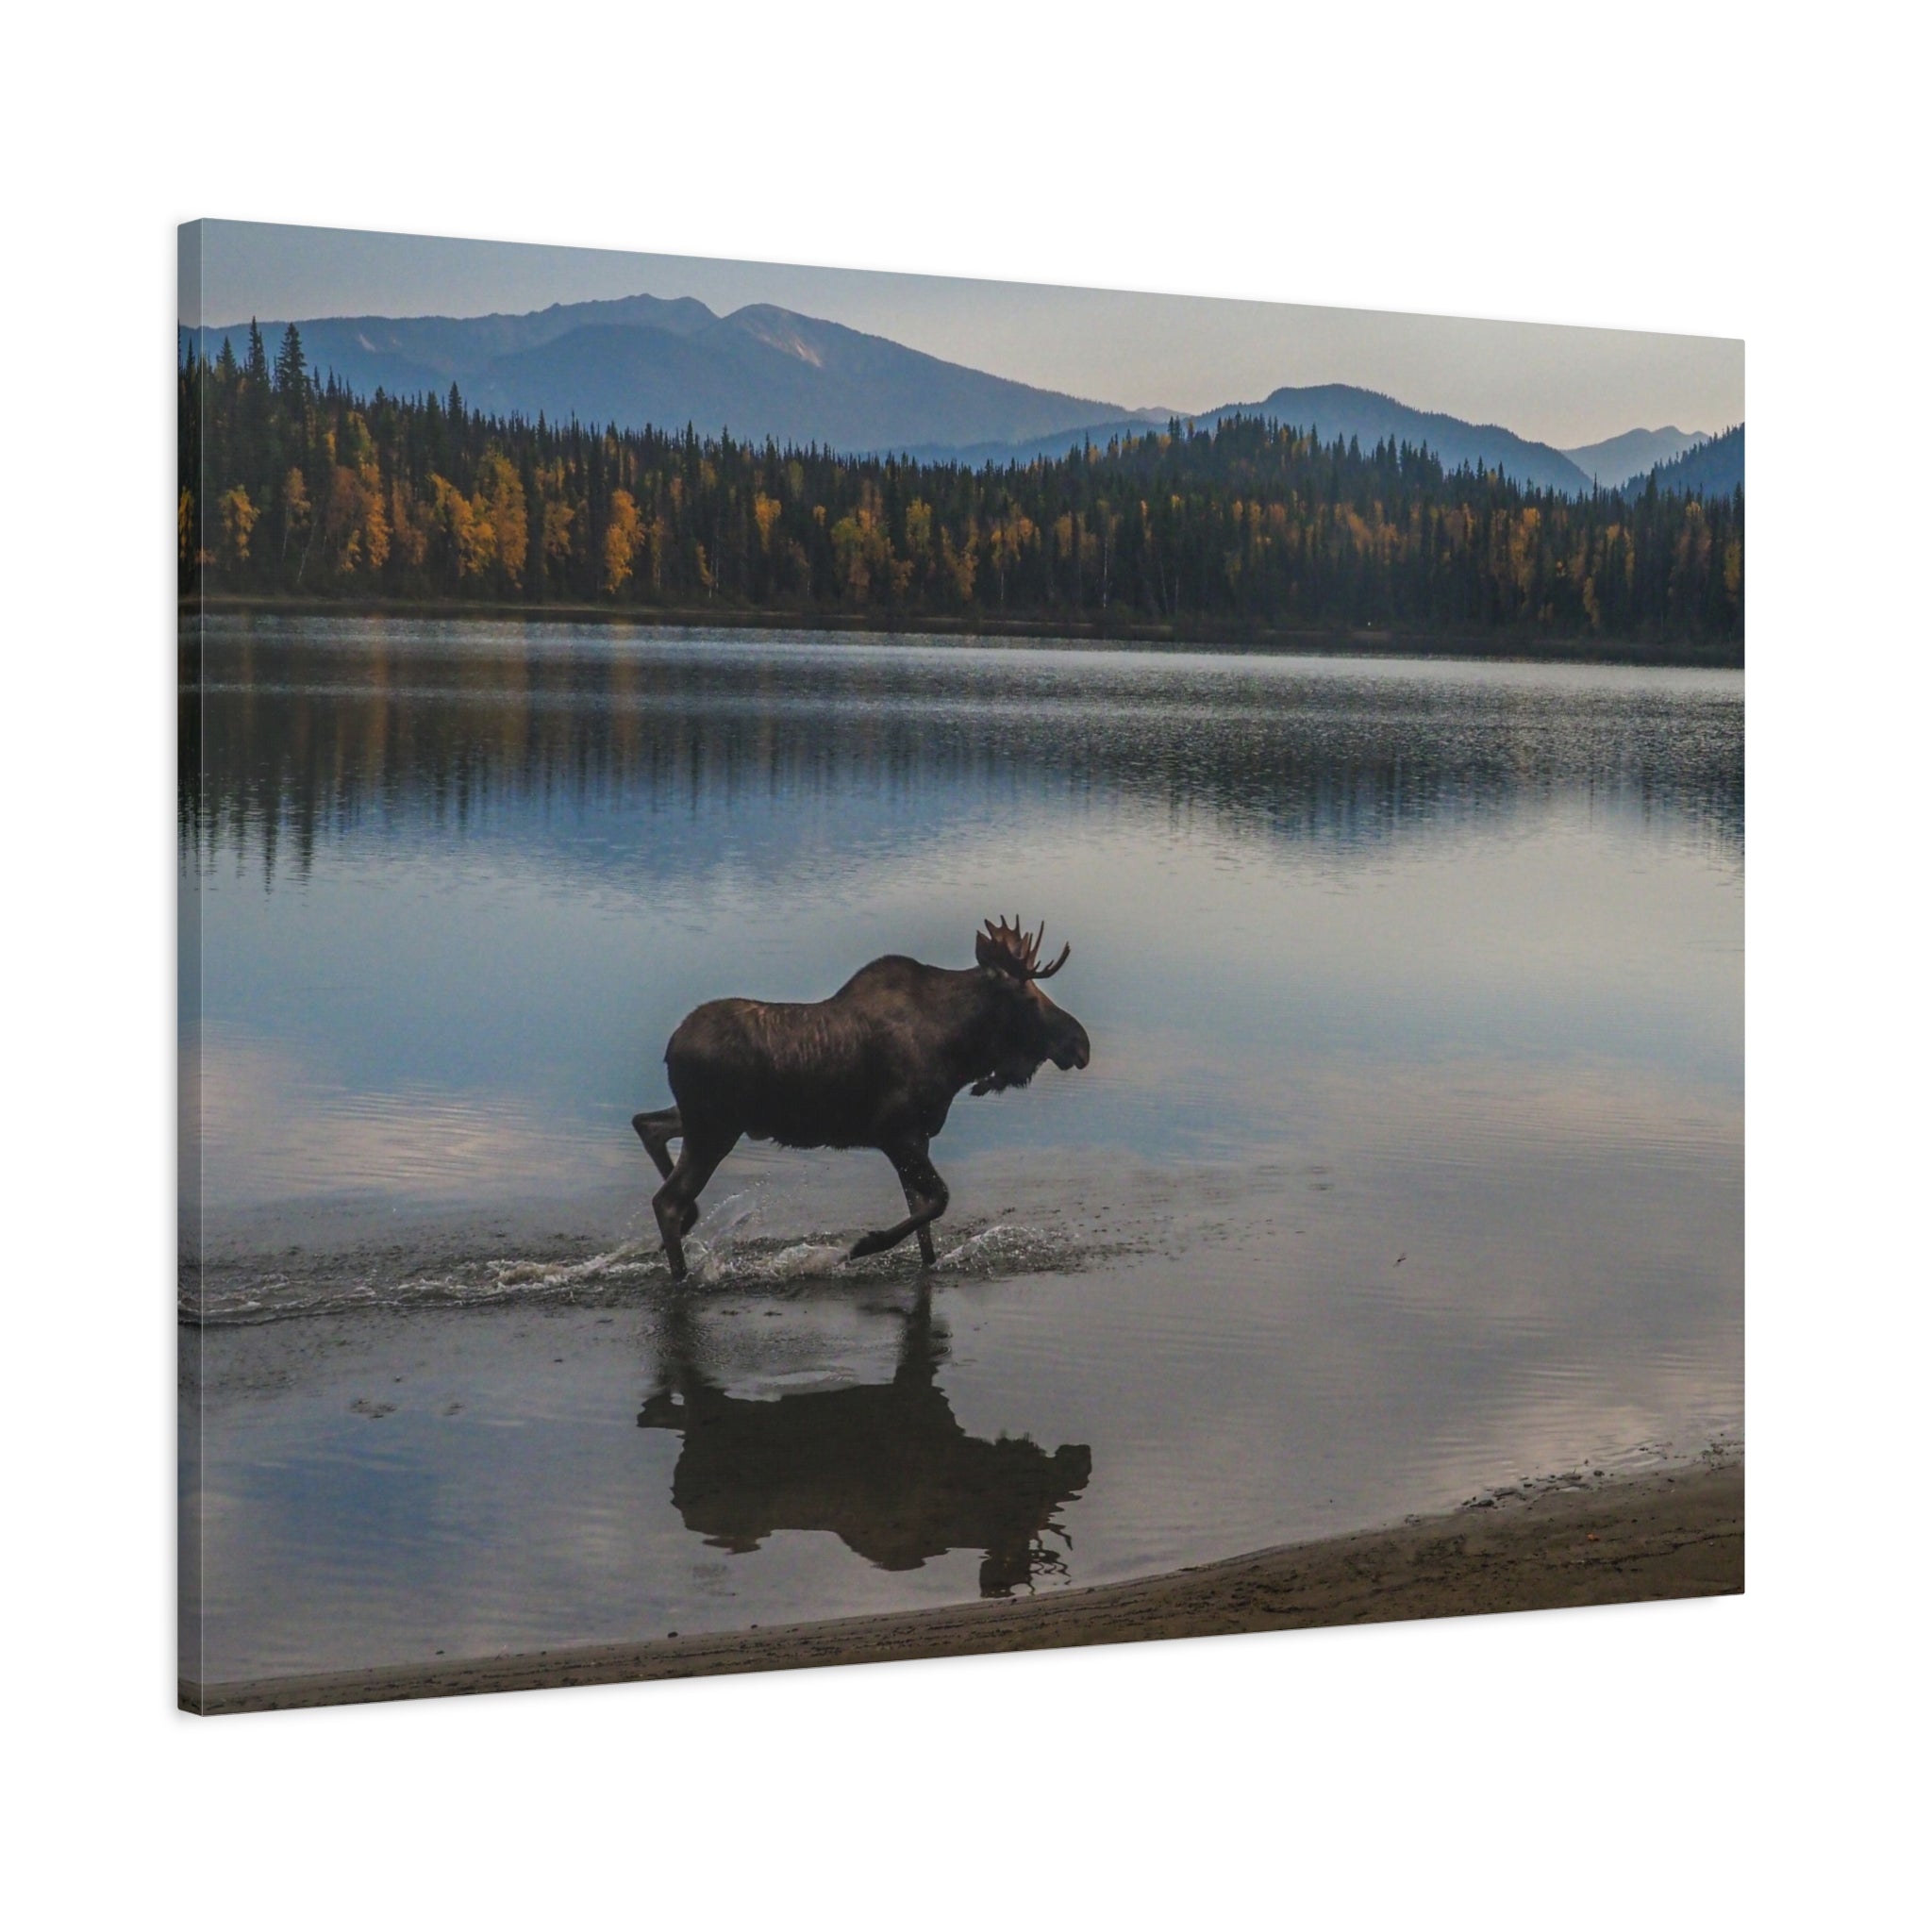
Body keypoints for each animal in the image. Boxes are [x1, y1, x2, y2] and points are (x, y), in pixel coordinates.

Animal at [633, 917, 1091, 1280]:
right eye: (1028, 998)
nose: (1081, 1044)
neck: (958, 1053)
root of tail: (671, 1048)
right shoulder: (893, 1132)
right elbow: (938, 1200)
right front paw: (861, 1246)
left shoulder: (918, 1138)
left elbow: (924, 1221)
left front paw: (923, 1262)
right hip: (714, 1129)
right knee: (666, 1200)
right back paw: (682, 1273)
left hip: (707, 1121)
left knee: (647, 1125)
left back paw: (688, 1225)